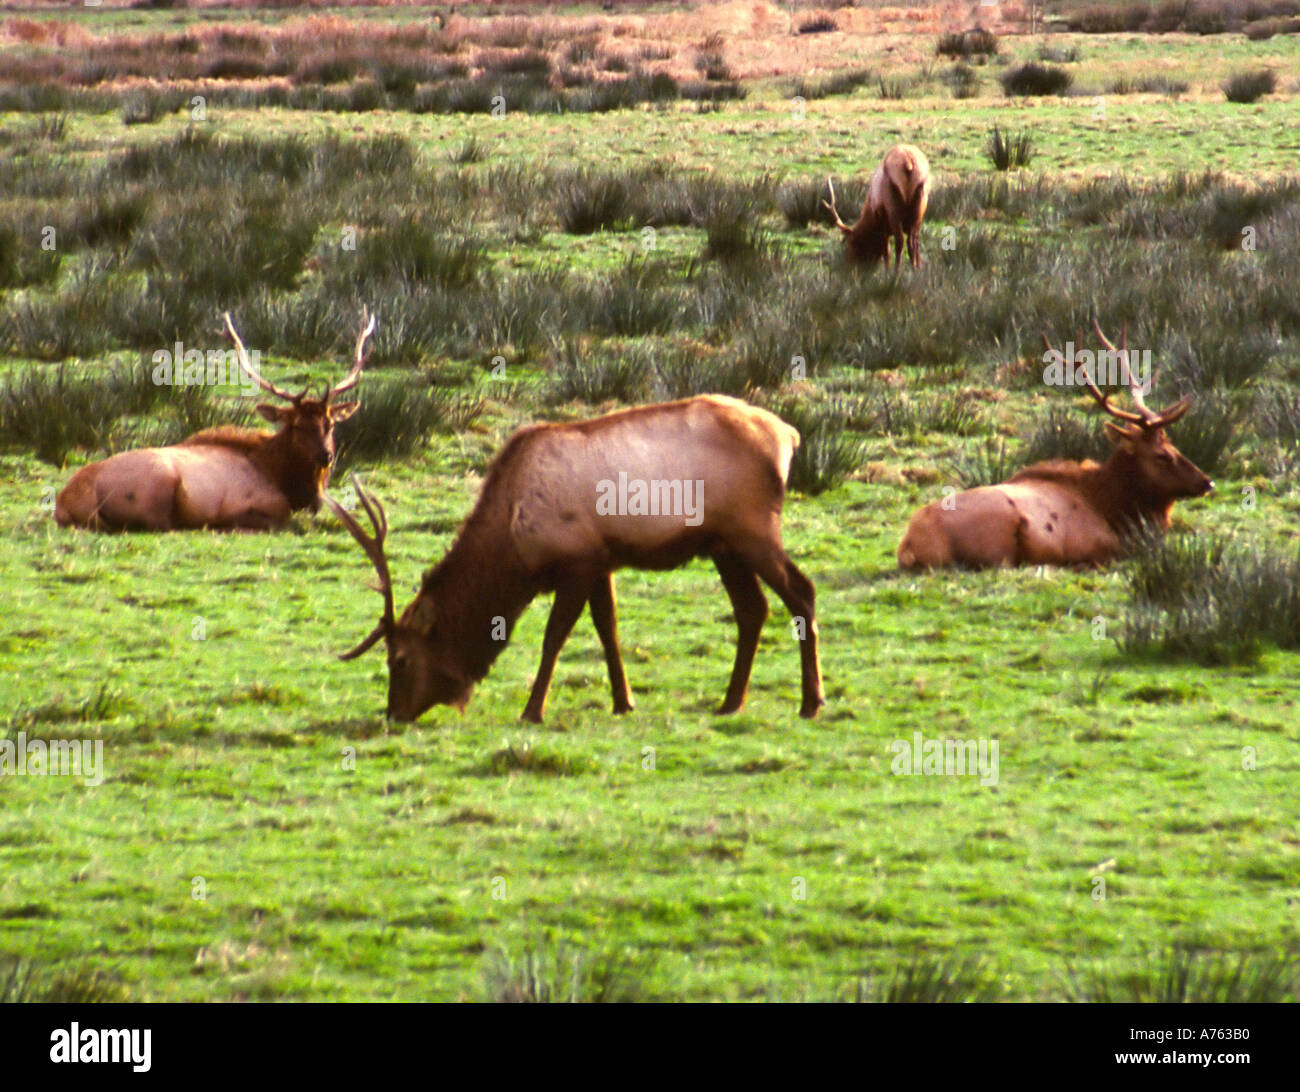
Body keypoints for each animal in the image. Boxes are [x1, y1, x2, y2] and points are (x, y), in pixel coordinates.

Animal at [53, 312, 374, 533]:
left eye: (330, 424)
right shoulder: (254, 505)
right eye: (297, 425)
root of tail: (66, 500)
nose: (326, 456)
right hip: (156, 486)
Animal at [330, 395, 826, 722]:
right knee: (752, 609)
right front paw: (623, 701)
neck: (514, 543)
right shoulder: (601, 560)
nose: (393, 715)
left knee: (802, 592)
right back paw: (730, 702)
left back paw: (810, 702)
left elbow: (555, 636)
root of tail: (789, 435)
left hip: (754, 529)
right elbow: (608, 630)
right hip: (724, 545)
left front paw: (533, 710)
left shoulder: (577, 560)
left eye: (399, 660)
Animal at [899, 322, 1211, 572]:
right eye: (1162, 455)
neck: (1113, 509)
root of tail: (909, 545)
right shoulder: (1097, 546)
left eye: (1174, 446)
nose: (1207, 482)